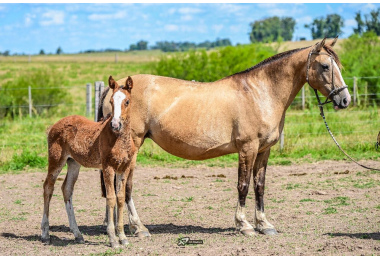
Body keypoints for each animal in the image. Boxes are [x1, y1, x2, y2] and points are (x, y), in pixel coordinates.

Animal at [41, 75, 136, 248]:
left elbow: (120, 198)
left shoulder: (123, 168)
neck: (119, 139)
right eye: (111, 101)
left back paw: (78, 234)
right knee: (48, 187)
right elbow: (111, 198)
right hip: (56, 159)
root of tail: (54, 126)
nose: (115, 124)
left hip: (73, 163)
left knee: (66, 189)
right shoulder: (107, 167)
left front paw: (123, 237)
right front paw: (113, 239)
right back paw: (45, 234)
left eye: (127, 101)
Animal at [98, 37, 350, 238]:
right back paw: (138, 228)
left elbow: (259, 186)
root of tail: (114, 89)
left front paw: (264, 224)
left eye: (337, 65)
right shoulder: (248, 149)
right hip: (132, 146)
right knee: (125, 184)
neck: (260, 93)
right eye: (325, 66)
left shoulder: (263, 150)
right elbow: (243, 186)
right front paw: (244, 225)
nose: (345, 99)